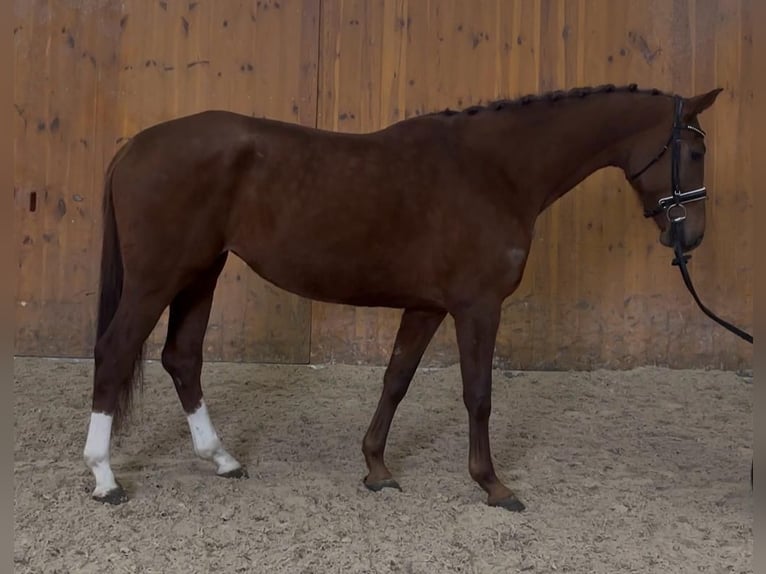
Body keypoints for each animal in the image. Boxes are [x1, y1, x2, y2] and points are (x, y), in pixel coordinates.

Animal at [83, 83, 722, 510]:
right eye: (694, 152)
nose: (691, 237)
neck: (494, 170)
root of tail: (136, 145)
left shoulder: (427, 307)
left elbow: (396, 379)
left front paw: (376, 468)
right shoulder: (477, 307)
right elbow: (478, 395)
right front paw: (493, 484)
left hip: (201, 273)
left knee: (182, 358)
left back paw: (221, 459)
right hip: (157, 278)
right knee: (114, 353)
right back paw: (105, 477)